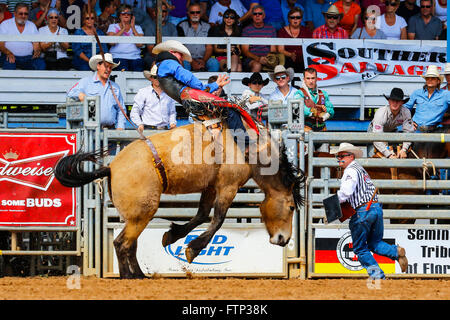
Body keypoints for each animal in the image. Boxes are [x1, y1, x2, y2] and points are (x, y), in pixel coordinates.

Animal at [53, 124, 306, 278]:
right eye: (291, 207)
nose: (284, 240)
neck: (250, 149)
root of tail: (111, 167)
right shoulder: (228, 186)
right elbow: (218, 219)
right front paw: (193, 249)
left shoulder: (210, 186)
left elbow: (202, 215)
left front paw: (172, 235)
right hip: (142, 213)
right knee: (121, 243)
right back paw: (127, 277)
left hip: (134, 217)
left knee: (130, 244)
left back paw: (140, 275)